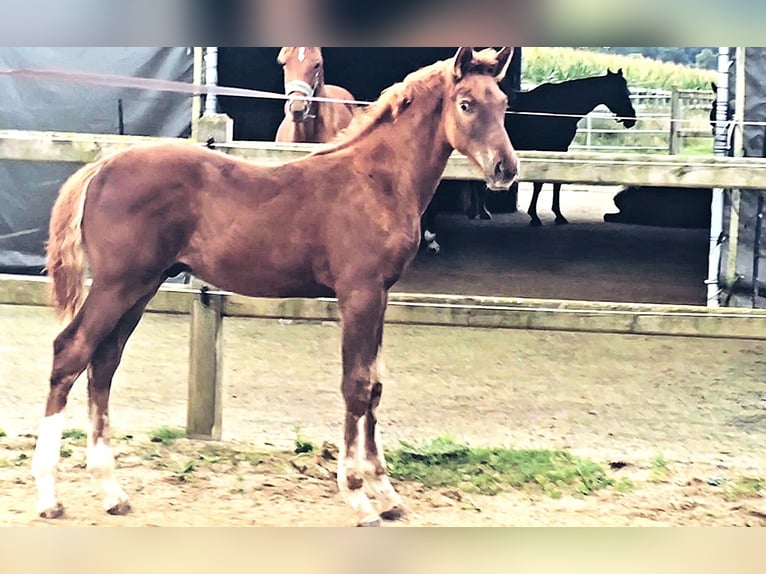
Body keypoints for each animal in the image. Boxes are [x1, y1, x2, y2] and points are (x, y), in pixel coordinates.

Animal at [31, 47, 518, 527]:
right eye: (466, 104)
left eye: (502, 103)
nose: (505, 169)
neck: (374, 181)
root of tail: (101, 166)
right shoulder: (358, 293)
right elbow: (356, 387)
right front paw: (358, 496)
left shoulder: (380, 295)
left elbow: (375, 387)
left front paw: (387, 493)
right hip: (117, 284)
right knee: (70, 352)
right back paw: (49, 496)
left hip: (142, 286)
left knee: (103, 363)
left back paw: (112, 492)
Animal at [505, 68, 637, 226]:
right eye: (621, 92)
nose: (631, 119)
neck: (560, 108)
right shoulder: (548, 150)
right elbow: (540, 183)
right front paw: (536, 217)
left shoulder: (560, 150)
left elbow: (556, 182)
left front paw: (557, 215)